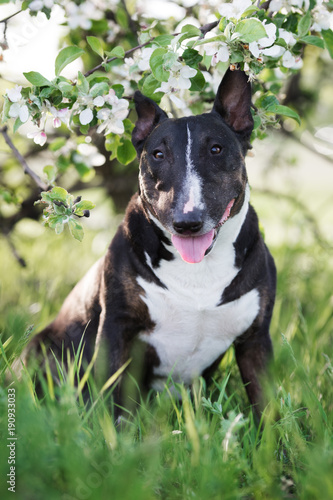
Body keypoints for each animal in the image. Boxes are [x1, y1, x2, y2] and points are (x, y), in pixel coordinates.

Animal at [21, 69, 274, 422]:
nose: (187, 222)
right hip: (40, 348)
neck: (199, 269)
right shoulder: (116, 327)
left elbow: (267, 408)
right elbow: (109, 399)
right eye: (158, 154)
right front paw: (111, 434)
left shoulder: (256, 339)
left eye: (216, 149)